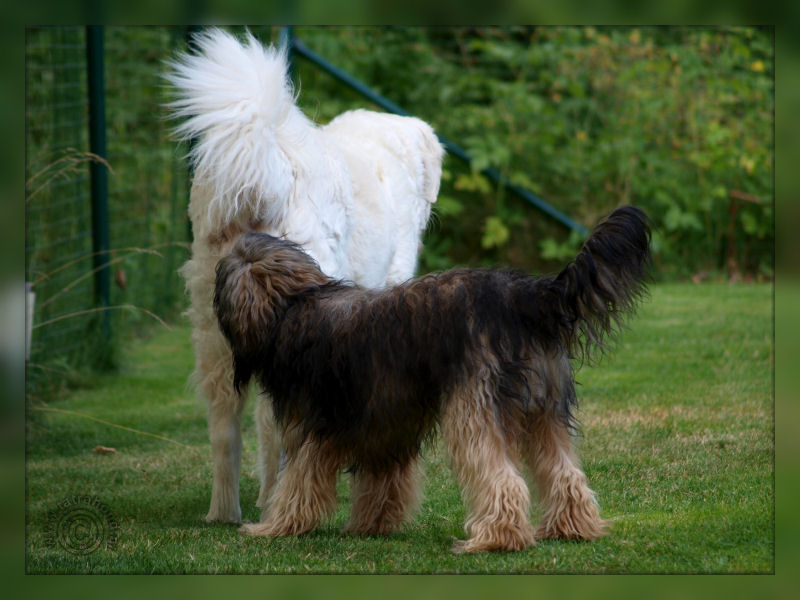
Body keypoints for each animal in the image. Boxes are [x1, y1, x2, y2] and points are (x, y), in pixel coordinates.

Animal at [167, 29, 444, 520]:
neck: (383, 157)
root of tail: (270, 172)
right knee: (273, 422)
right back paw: (277, 498)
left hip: (213, 332)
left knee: (226, 426)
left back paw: (228, 510)